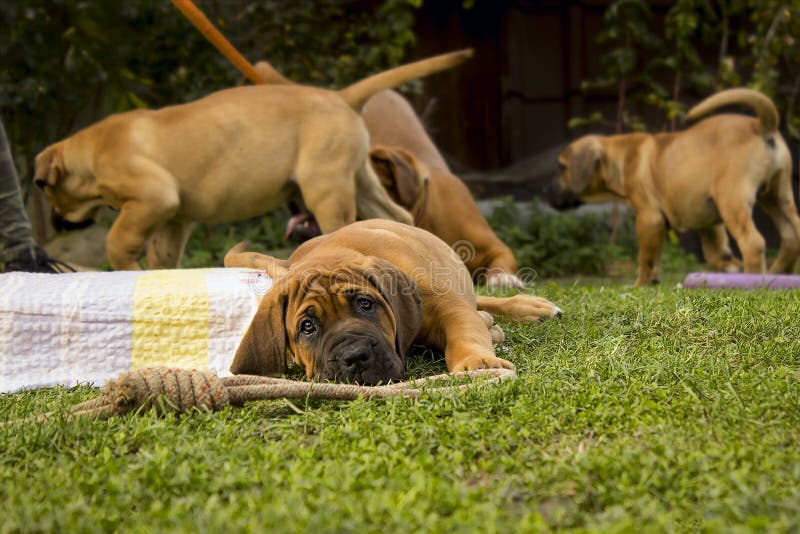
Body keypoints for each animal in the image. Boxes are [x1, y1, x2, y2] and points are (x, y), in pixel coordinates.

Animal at [34, 50, 472, 272]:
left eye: (49, 194)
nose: (55, 221)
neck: (92, 151)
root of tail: (340, 97)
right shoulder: (175, 219)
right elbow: (163, 257)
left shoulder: (153, 198)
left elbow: (117, 239)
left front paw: (124, 267)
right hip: (361, 179)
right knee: (396, 218)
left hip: (325, 187)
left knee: (344, 229)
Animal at [225, 221, 560, 386]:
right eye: (307, 327)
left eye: (365, 304)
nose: (354, 357)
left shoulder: (449, 307)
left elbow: (464, 333)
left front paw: (477, 361)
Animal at [556, 89, 800, 288]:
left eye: (562, 167)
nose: (548, 191)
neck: (620, 155)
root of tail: (760, 125)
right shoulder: (708, 222)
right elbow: (713, 252)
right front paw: (725, 267)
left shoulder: (649, 219)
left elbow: (646, 257)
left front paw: (640, 284)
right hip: (778, 196)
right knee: (792, 235)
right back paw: (781, 273)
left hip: (732, 199)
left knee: (754, 242)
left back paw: (754, 279)